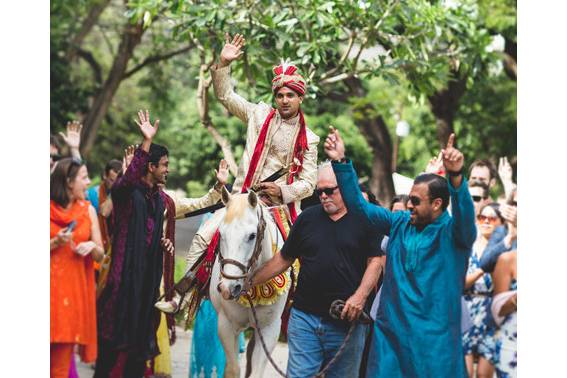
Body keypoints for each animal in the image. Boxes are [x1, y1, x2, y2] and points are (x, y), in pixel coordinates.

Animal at [210, 188, 290, 376]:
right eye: (221, 234)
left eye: (252, 235)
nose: (228, 288)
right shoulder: (226, 324)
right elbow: (232, 369)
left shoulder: (269, 328)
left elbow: (256, 372)